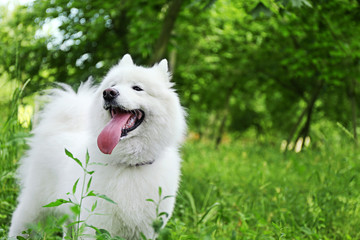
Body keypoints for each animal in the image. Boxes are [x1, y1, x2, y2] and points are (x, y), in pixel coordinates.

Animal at [9, 53, 186, 239]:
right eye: (113, 85)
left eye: (137, 88)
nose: (108, 93)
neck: (130, 164)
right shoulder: (96, 225)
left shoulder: (144, 231)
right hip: (34, 208)